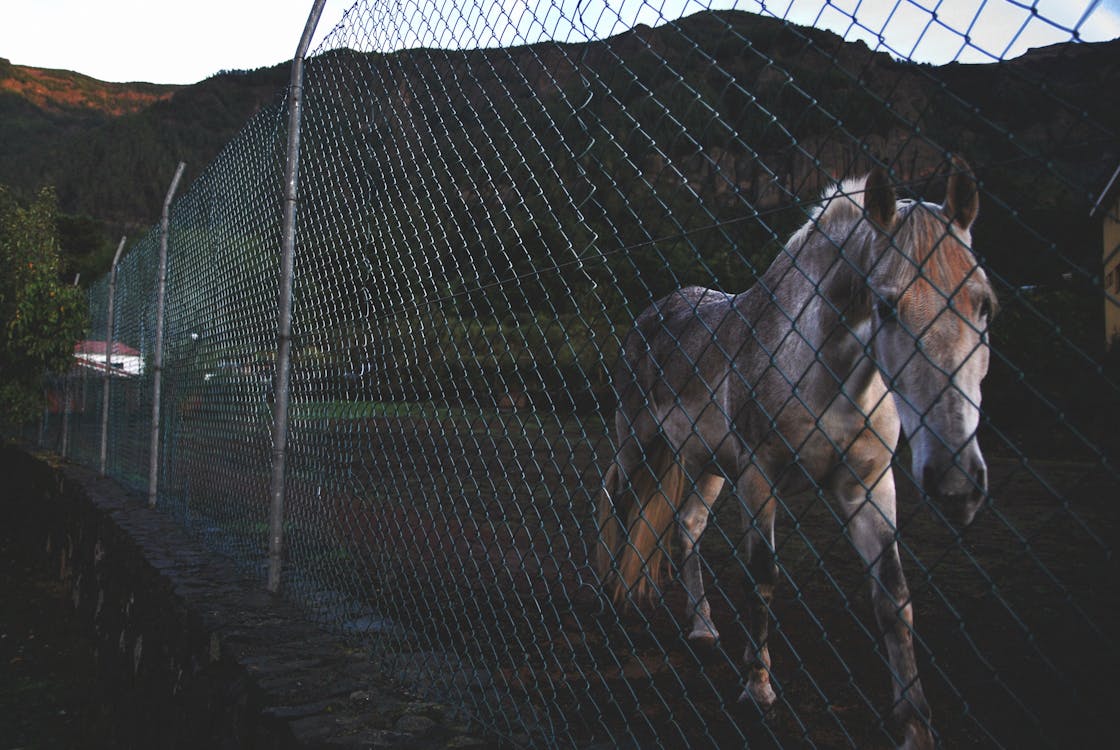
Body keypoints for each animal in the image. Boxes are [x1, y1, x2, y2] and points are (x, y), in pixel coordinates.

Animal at [600, 160, 994, 750]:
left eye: (984, 304)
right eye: (885, 305)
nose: (955, 482)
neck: (823, 368)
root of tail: (654, 313)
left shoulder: (868, 485)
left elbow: (894, 596)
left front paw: (915, 725)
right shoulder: (759, 475)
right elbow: (762, 575)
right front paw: (757, 687)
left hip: (704, 465)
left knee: (688, 525)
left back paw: (702, 627)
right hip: (639, 445)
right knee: (620, 502)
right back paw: (612, 598)